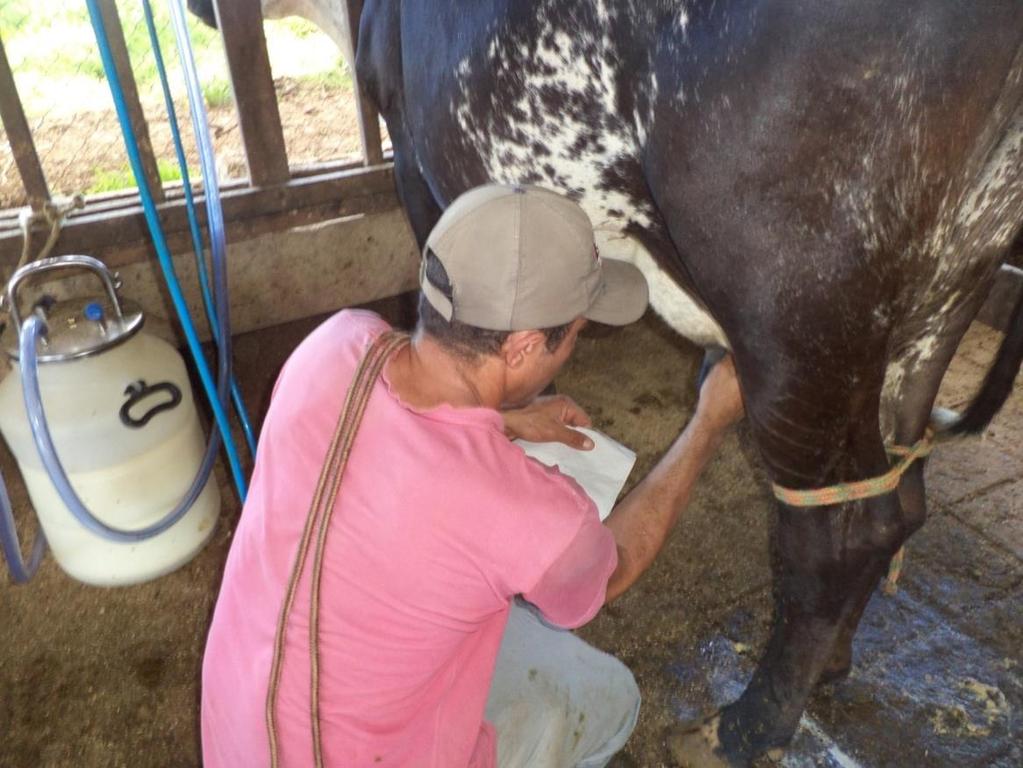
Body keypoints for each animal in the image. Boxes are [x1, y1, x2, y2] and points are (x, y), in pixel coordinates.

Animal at [193, 0, 1023, 764]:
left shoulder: (421, 169)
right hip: (942, 291)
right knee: (901, 494)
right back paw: (830, 663)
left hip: (795, 298)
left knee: (842, 532)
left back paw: (742, 729)